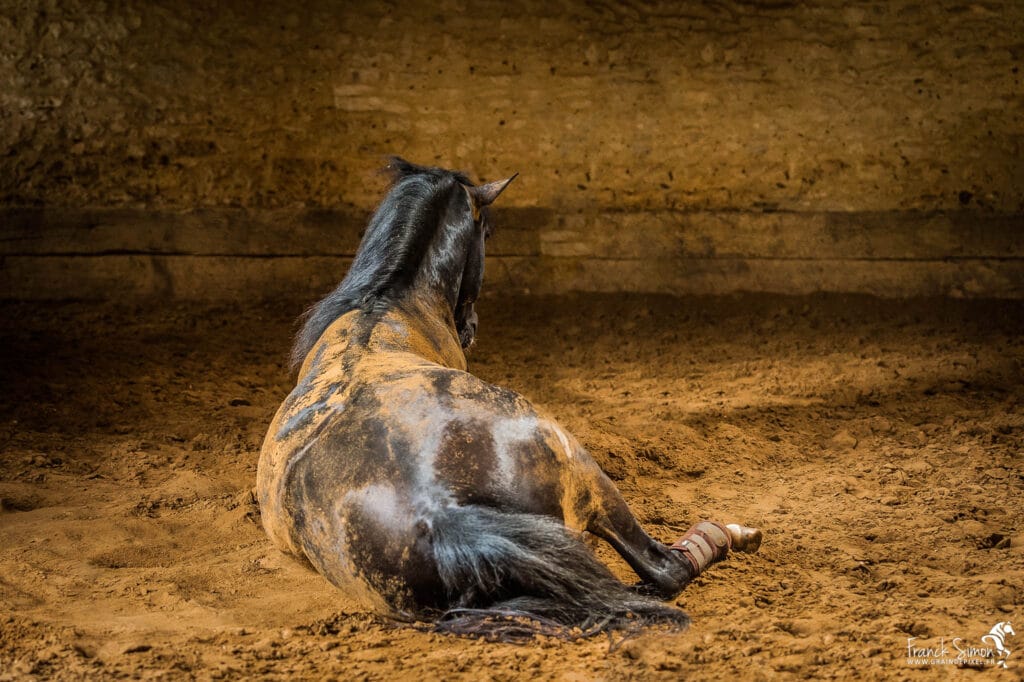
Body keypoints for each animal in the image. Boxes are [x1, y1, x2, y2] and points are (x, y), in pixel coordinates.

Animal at [256, 158, 762, 640]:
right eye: (487, 231)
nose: (471, 326)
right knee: (663, 570)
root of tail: (441, 511)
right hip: (582, 467)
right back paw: (726, 535)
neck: (385, 306)